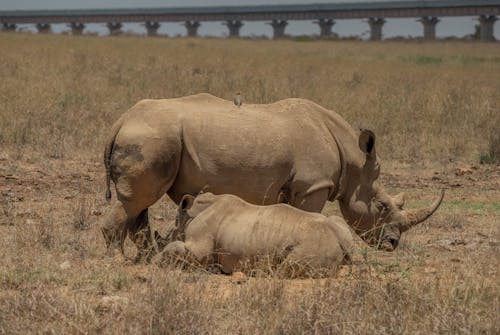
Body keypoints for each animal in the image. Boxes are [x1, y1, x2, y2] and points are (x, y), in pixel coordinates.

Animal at [99, 93, 444, 262]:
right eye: (383, 206)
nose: (392, 244)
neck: (354, 159)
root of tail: (120, 120)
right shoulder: (313, 185)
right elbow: (309, 215)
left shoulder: (296, 186)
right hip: (151, 138)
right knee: (135, 200)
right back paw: (119, 261)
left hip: (152, 138)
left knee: (141, 201)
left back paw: (146, 256)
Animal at [158, 192, 354, 278]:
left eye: (175, 222)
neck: (191, 214)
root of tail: (338, 239)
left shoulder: (200, 245)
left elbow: (176, 247)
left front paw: (156, 261)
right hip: (337, 229)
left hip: (314, 241)